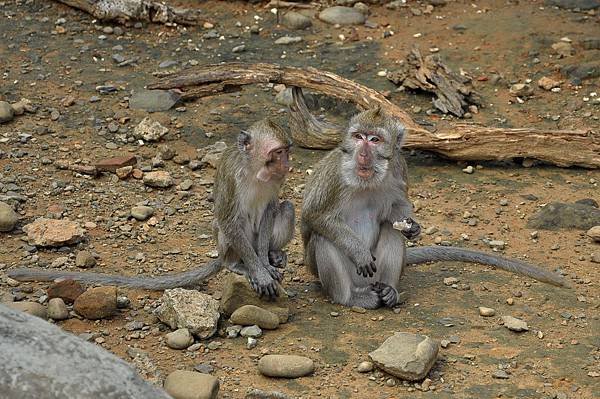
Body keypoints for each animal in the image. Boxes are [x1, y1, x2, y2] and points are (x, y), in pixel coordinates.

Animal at [7, 118, 292, 296]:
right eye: (277, 153)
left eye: (286, 151)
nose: (287, 164)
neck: (254, 171)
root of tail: (221, 255)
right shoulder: (234, 178)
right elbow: (228, 219)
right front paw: (258, 270)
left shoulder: (274, 183)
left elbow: (270, 209)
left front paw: (265, 263)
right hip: (227, 247)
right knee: (226, 227)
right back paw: (237, 264)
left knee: (286, 207)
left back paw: (272, 254)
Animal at [302, 107, 568, 310]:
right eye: (358, 137)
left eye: (374, 140)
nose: (363, 154)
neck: (367, 179)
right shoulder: (335, 176)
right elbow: (315, 216)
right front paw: (358, 252)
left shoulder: (399, 167)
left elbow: (397, 208)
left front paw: (413, 227)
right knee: (324, 238)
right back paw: (350, 298)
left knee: (390, 231)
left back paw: (389, 291)